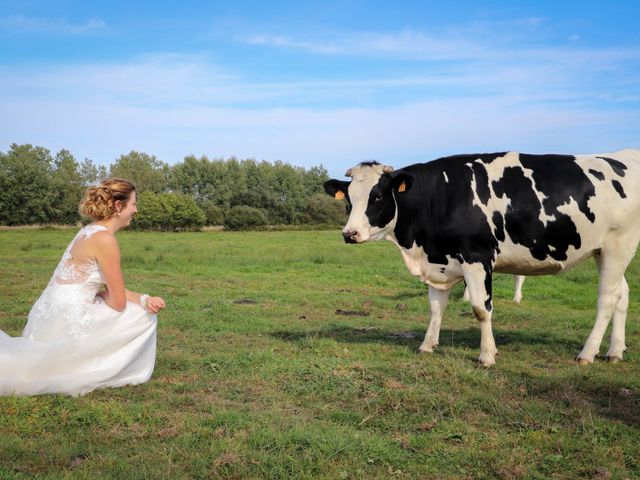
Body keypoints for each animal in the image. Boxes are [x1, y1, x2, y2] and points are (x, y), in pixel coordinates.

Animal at [324, 152, 640, 366]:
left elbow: (480, 309)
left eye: (377, 196)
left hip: (618, 245)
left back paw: (588, 353)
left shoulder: (477, 257)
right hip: (603, 251)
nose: (349, 233)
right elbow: (435, 308)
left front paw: (487, 355)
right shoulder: (441, 262)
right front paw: (427, 345)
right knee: (622, 294)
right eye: (349, 197)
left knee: (607, 299)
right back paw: (614, 351)